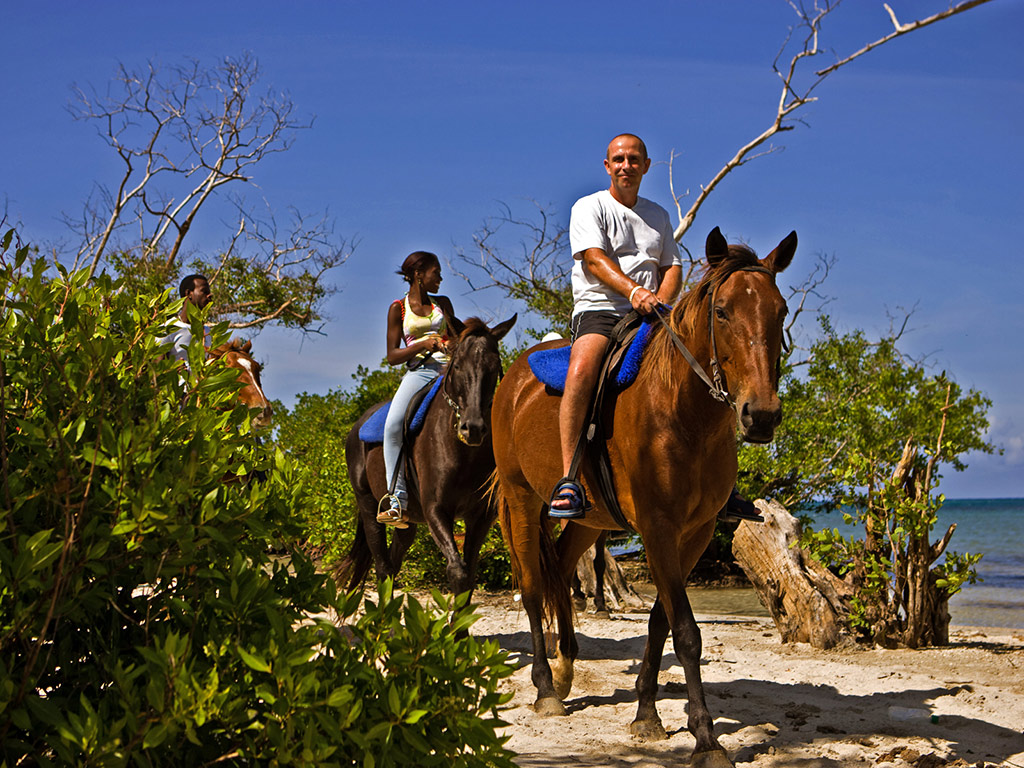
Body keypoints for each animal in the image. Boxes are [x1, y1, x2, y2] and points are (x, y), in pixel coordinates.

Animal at [341, 314, 517, 597]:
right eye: (457, 365)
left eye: (494, 366)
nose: (473, 428)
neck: (463, 453)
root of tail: (357, 426)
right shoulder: (436, 510)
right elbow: (457, 572)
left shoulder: (479, 517)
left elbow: (469, 576)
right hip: (369, 508)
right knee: (382, 567)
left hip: (408, 522)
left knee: (392, 565)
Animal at [491, 227, 795, 768]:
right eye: (722, 311)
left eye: (779, 311)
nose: (760, 415)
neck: (683, 413)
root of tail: (515, 378)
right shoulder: (657, 528)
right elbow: (688, 633)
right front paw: (705, 738)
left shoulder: (694, 533)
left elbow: (660, 622)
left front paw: (647, 715)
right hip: (521, 499)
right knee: (531, 587)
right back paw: (546, 688)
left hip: (587, 518)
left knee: (562, 569)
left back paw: (566, 671)